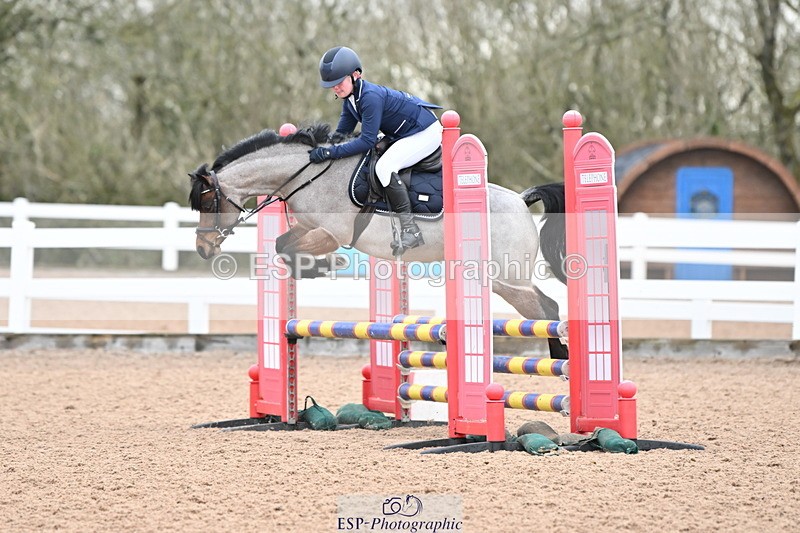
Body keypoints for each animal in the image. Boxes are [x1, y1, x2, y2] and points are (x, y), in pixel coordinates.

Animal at [188, 124, 569, 359]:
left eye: (206, 203)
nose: (203, 249)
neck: (308, 175)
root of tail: (521, 200)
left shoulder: (332, 234)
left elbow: (293, 249)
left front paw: (331, 264)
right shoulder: (308, 227)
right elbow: (283, 246)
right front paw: (316, 268)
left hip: (505, 278)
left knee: (547, 309)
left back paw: (561, 365)